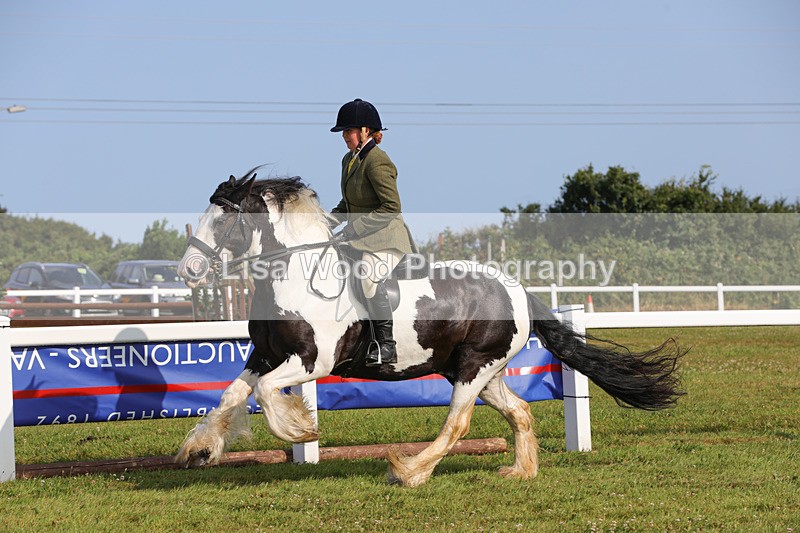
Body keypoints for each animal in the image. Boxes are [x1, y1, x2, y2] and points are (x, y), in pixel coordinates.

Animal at [175, 170, 685, 487]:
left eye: (225, 220)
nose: (189, 271)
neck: (293, 275)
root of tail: (519, 291)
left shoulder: (310, 362)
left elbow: (265, 394)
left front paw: (299, 429)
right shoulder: (263, 355)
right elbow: (232, 394)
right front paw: (198, 451)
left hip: (475, 368)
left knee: (457, 422)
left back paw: (409, 472)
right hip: (482, 371)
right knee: (520, 413)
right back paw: (518, 472)